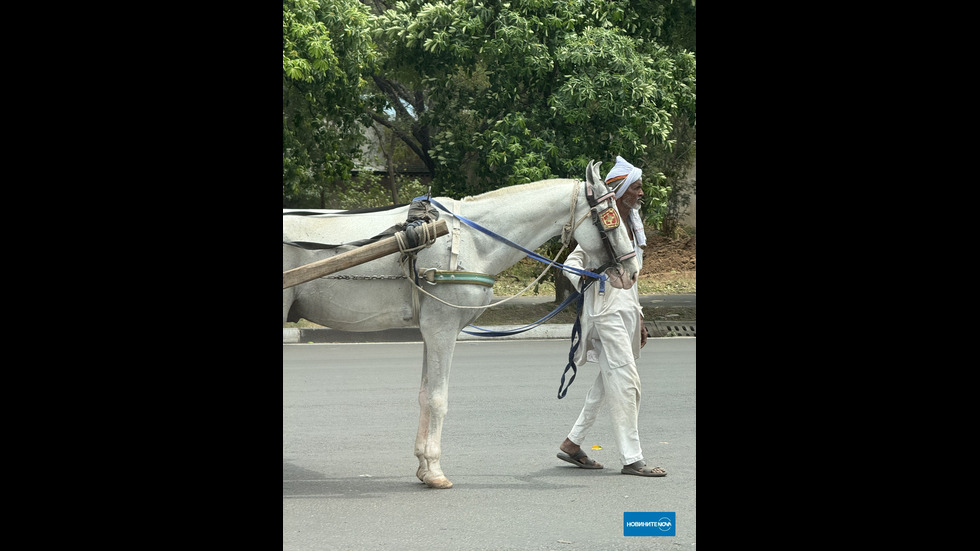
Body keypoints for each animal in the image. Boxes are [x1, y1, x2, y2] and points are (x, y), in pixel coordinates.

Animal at [280, 162, 640, 490]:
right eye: (610, 214)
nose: (633, 270)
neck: (471, 239)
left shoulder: (430, 329)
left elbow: (425, 395)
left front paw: (423, 467)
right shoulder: (442, 328)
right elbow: (438, 399)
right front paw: (435, 470)